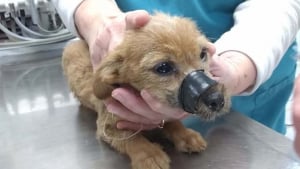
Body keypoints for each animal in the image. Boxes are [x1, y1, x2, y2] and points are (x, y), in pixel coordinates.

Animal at [62, 13, 231, 169]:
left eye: (203, 53)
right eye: (163, 68)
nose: (217, 99)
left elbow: (173, 122)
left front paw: (185, 135)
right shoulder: (107, 127)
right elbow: (131, 138)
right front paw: (149, 154)